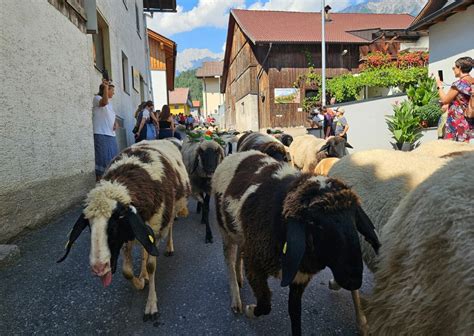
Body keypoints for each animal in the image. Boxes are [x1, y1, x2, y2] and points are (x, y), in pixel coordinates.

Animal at [55, 140, 189, 322]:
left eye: (113, 226)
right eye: (89, 226)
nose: (99, 268)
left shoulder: (153, 227)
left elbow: (151, 265)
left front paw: (151, 305)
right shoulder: (130, 234)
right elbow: (127, 272)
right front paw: (140, 282)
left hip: (171, 211)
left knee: (170, 229)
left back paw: (169, 248)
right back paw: (143, 275)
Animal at [213, 151, 380, 334]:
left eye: (354, 218)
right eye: (314, 222)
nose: (354, 280)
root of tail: (238, 153)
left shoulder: (299, 279)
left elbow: (295, 313)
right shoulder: (255, 265)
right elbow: (265, 304)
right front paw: (251, 310)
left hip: (242, 235)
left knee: (240, 252)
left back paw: (239, 277)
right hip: (225, 230)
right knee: (229, 260)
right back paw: (236, 298)